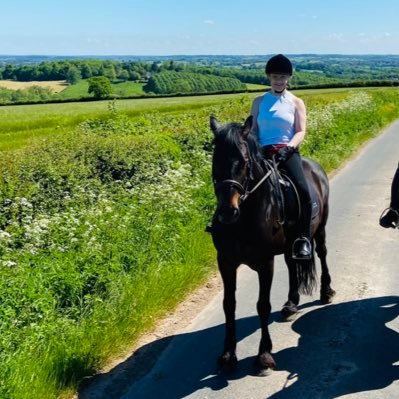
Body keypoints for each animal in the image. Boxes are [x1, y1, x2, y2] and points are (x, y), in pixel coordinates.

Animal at [211, 115, 336, 376]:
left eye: (244, 162)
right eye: (215, 160)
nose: (227, 212)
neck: (245, 216)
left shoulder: (264, 262)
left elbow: (263, 305)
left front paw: (264, 356)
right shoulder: (226, 262)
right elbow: (229, 305)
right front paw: (228, 355)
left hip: (319, 229)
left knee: (322, 254)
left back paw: (326, 291)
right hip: (291, 243)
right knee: (291, 264)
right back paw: (291, 304)